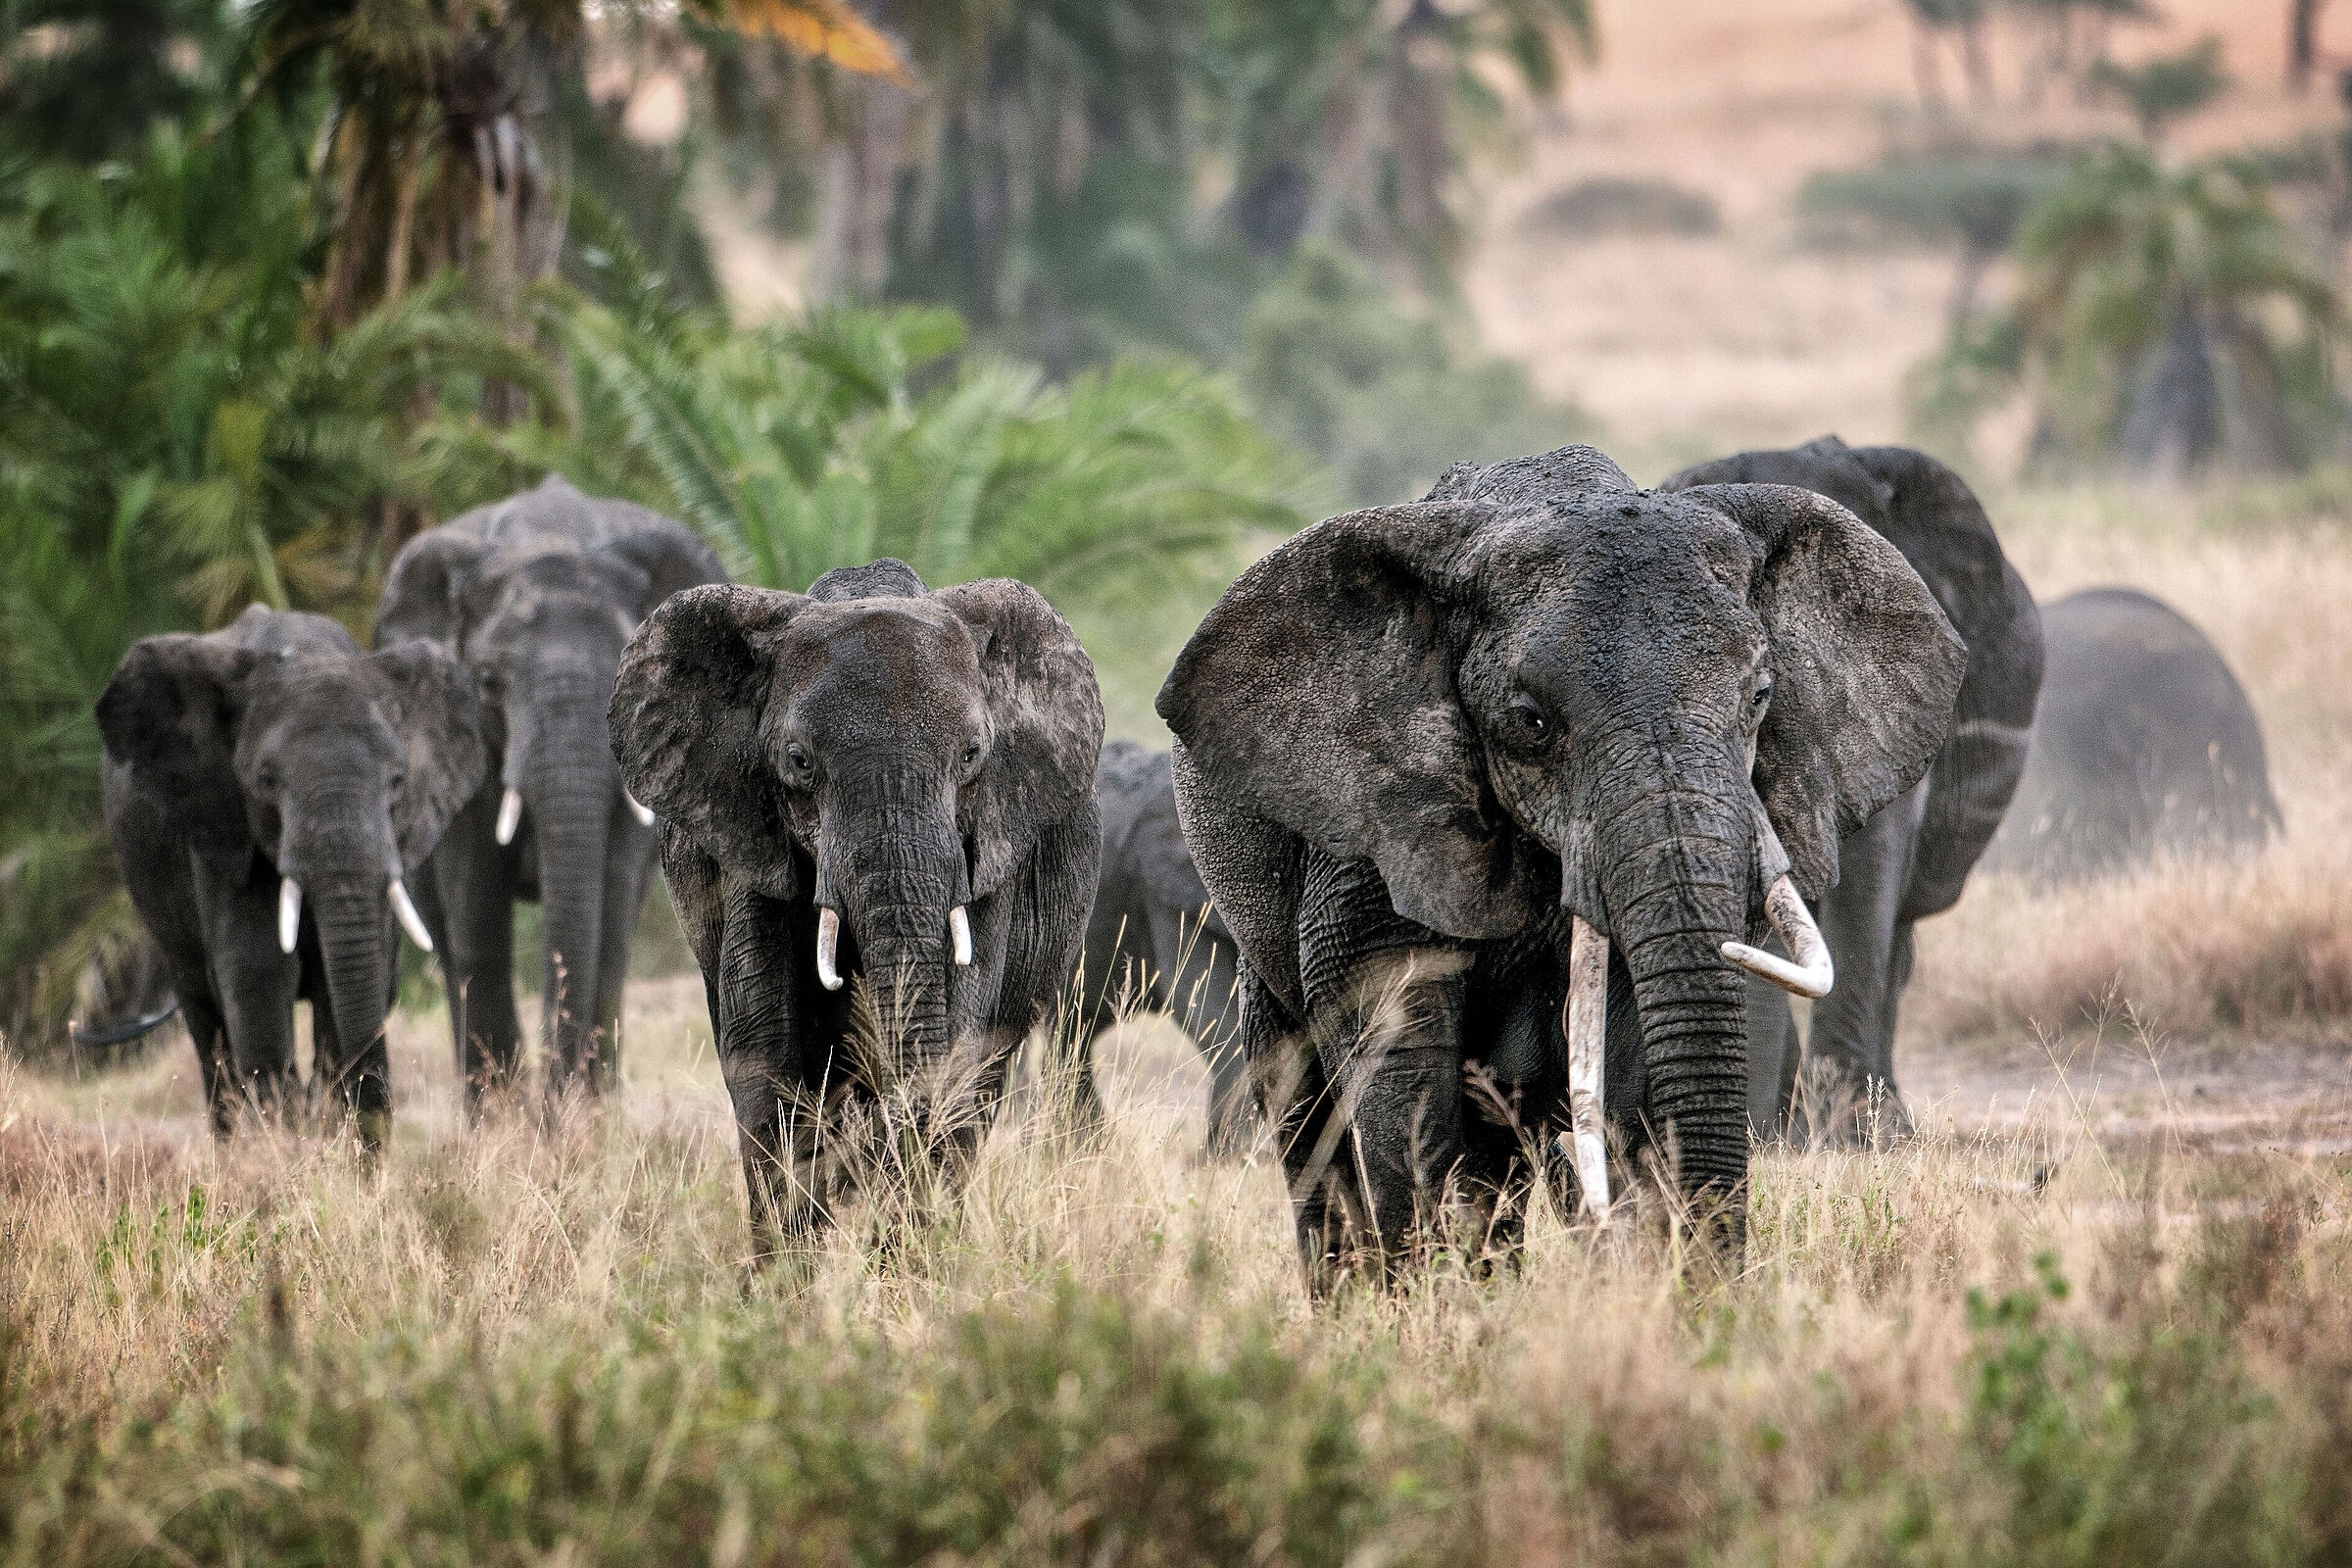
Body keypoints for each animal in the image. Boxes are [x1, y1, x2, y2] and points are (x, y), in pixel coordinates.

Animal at [95, 605, 484, 1143]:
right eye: (265, 780)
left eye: (398, 780)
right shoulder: (223, 826)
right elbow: (257, 976)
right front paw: (290, 1141)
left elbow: (354, 984)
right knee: (203, 1017)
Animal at [374, 474, 725, 1104]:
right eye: (488, 681)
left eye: (627, 674)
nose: (551, 1105)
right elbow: (475, 901)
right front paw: (509, 1119)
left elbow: (613, 904)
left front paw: (581, 1113)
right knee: (446, 940)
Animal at [609, 558, 1105, 1256]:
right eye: (798, 761)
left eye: (973, 756)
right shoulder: (748, 834)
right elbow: (769, 1056)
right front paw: (788, 1272)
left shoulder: (991, 848)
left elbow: (957, 1043)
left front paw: (904, 1263)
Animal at [1157, 445, 1965, 1281]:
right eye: (1531, 722)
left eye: (1761, 696)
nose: (1717, 1290)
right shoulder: (1370, 838)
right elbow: (1400, 1059)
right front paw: (1432, 1304)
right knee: (1308, 1116)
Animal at [1658, 437, 2043, 1143]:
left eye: (1766, 687)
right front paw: (1774, 1139)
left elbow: (1866, 877)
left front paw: (1845, 1139)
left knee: (1899, 943)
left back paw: (1881, 1129)